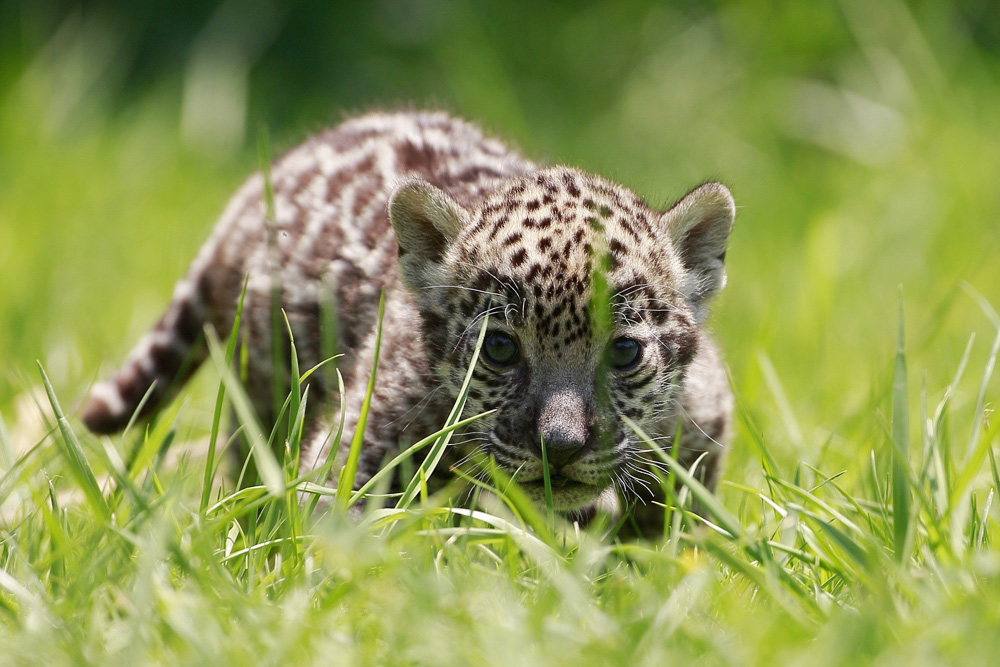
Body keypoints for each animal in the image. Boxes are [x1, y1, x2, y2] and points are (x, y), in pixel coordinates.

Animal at [82, 109, 735, 521]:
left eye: (624, 352)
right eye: (499, 349)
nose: (561, 447)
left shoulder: (703, 421)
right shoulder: (356, 449)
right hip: (264, 393)